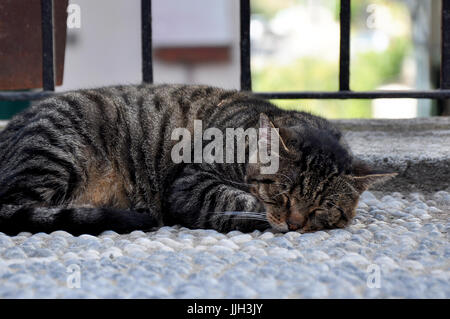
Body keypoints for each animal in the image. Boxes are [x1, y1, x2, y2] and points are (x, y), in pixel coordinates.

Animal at [0, 84, 394, 236]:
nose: (295, 224)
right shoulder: (189, 185)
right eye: (282, 194)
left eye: (322, 206)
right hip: (55, 151)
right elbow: (239, 202)